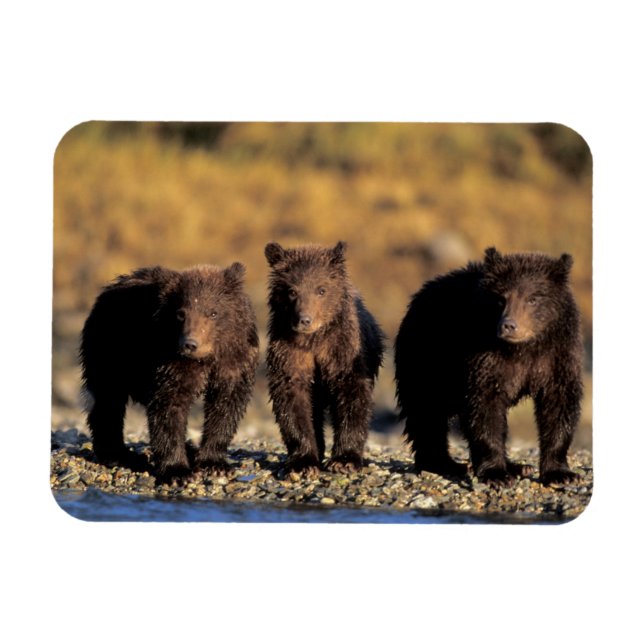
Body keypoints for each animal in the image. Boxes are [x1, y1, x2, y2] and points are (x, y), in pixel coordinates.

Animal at [80, 263, 259, 484]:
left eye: (213, 313)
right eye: (180, 313)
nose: (190, 344)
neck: (206, 359)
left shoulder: (234, 362)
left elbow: (226, 405)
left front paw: (215, 464)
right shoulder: (169, 362)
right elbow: (169, 408)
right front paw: (178, 472)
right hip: (110, 350)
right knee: (107, 399)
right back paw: (118, 454)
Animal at [264, 241, 385, 475]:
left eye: (321, 289)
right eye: (292, 291)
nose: (304, 320)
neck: (313, 341)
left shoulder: (342, 350)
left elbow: (352, 394)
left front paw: (344, 460)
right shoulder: (290, 353)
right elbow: (293, 401)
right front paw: (303, 462)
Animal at [394, 247, 583, 486]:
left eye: (533, 298)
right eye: (501, 298)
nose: (509, 325)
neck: (524, 348)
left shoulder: (556, 357)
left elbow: (558, 404)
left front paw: (560, 474)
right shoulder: (485, 357)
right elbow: (485, 407)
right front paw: (496, 474)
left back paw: (517, 466)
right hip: (426, 358)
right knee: (426, 410)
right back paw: (445, 463)